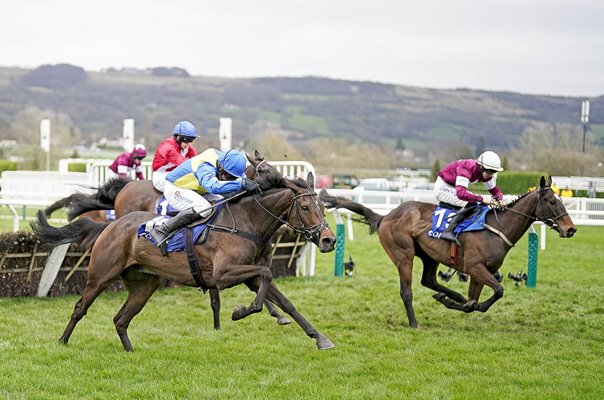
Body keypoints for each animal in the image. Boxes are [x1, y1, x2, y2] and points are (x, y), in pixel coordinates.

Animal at [30, 170, 338, 352]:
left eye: (323, 207)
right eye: (306, 207)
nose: (328, 240)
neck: (246, 222)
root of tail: (111, 225)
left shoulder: (247, 275)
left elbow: (283, 299)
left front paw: (319, 337)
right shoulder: (224, 275)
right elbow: (265, 275)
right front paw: (241, 311)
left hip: (144, 285)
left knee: (121, 319)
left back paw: (129, 351)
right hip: (99, 276)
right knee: (80, 308)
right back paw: (62, 341)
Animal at [318, 176, 580, 328]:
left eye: (560, 199)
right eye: (551, 201)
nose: (571, 229)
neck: (496, 228)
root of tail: (387, 216)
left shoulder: (480, 271)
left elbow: (478, 299)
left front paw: (461, 302)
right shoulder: (475, 267)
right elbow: (498, 291)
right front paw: (464, 304)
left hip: (429, 255)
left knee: (429, 281)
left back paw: (450, 296)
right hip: (403, 255)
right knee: (407, 291)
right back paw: (414, 322)